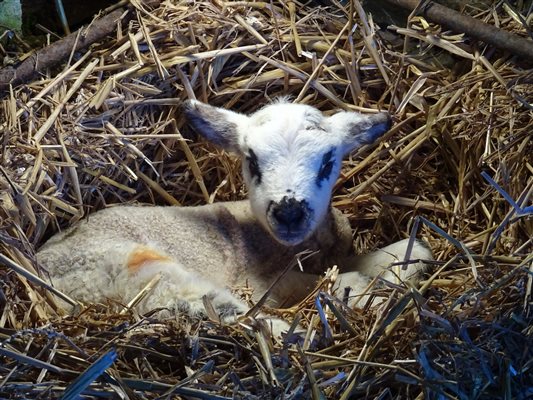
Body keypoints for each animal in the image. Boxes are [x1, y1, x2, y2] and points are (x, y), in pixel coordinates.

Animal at [37, 99, 430, 332]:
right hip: (140, 273)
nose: (289, 212)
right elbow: (332, 283)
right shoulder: (261, 282)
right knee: (231, 315)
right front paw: (367, 287)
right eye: (251, 160)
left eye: (328, 161)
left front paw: (403, 260)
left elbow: (404, 254)